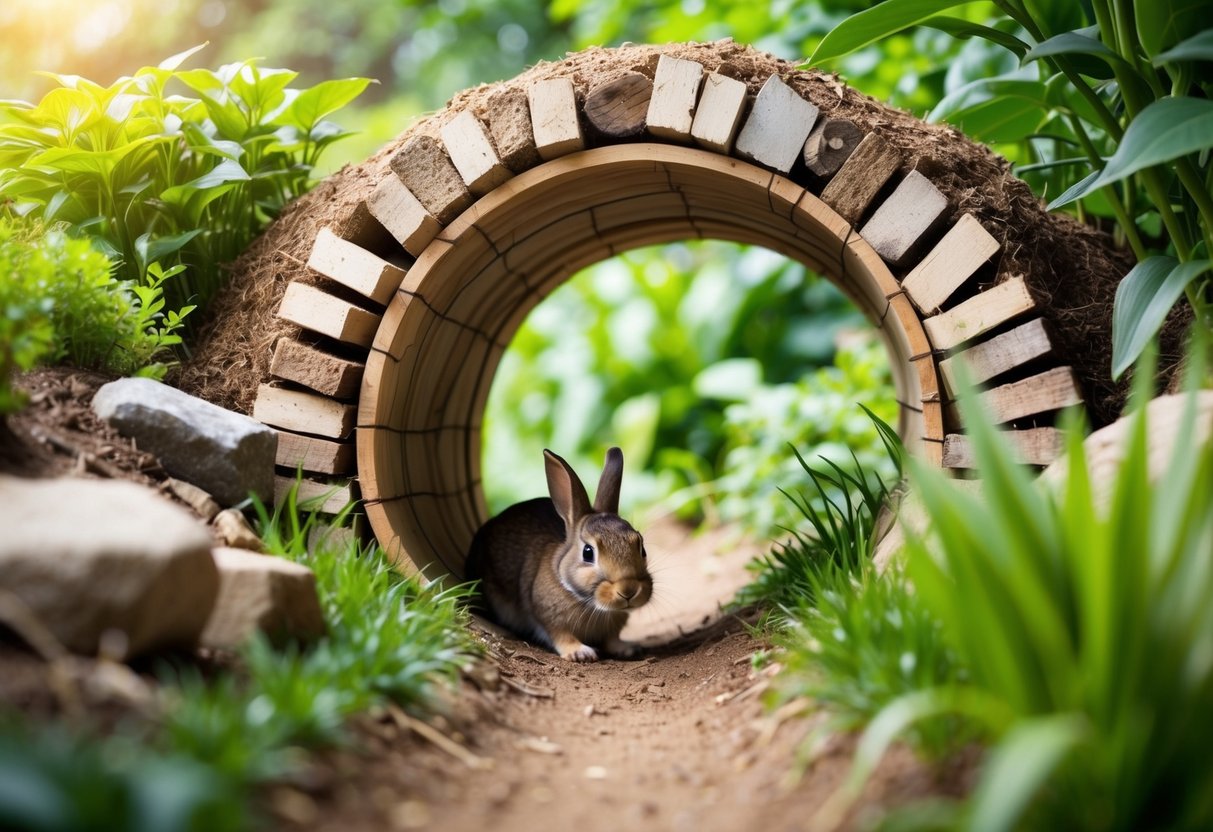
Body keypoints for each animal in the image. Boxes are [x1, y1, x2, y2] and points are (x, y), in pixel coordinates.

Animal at [463, 448, 655, 664]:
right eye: (588, 552)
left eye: (641, 548)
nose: (628, 590)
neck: (591, 604)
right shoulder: (548, 618)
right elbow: (561, 635)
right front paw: (580, 653)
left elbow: (612, 638)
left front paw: (627, 649)